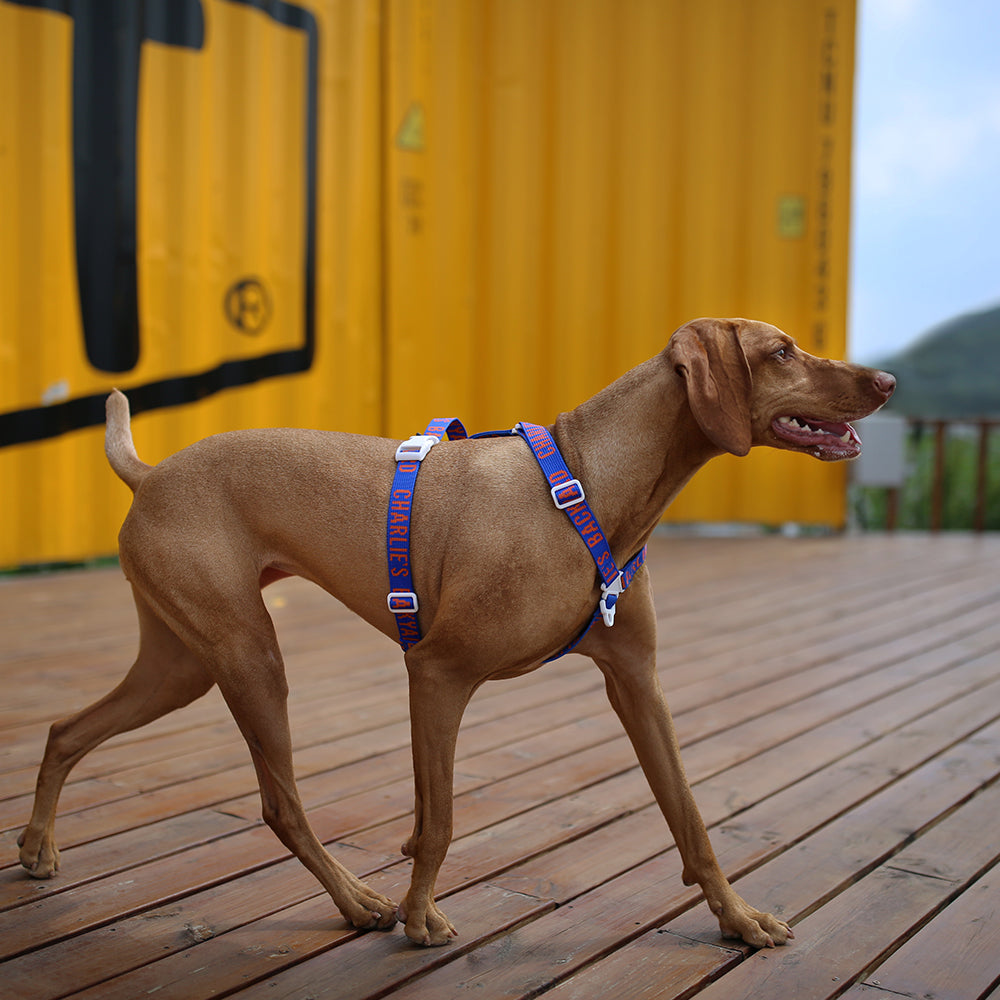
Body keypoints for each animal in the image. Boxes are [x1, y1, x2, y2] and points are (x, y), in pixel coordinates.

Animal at [17, 318, 892, 944]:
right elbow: (438, 823)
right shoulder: (437, 674)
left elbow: (690, 815)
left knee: (66, 729)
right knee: (279, 806)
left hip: (181, 666)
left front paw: (737, 919)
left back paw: (36, 846)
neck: (587, 484)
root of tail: (150, 475)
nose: (885, 380)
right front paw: (417, 914)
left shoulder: (637, 683)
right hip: (248, 658)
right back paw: (358, 901)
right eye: (782, 350)